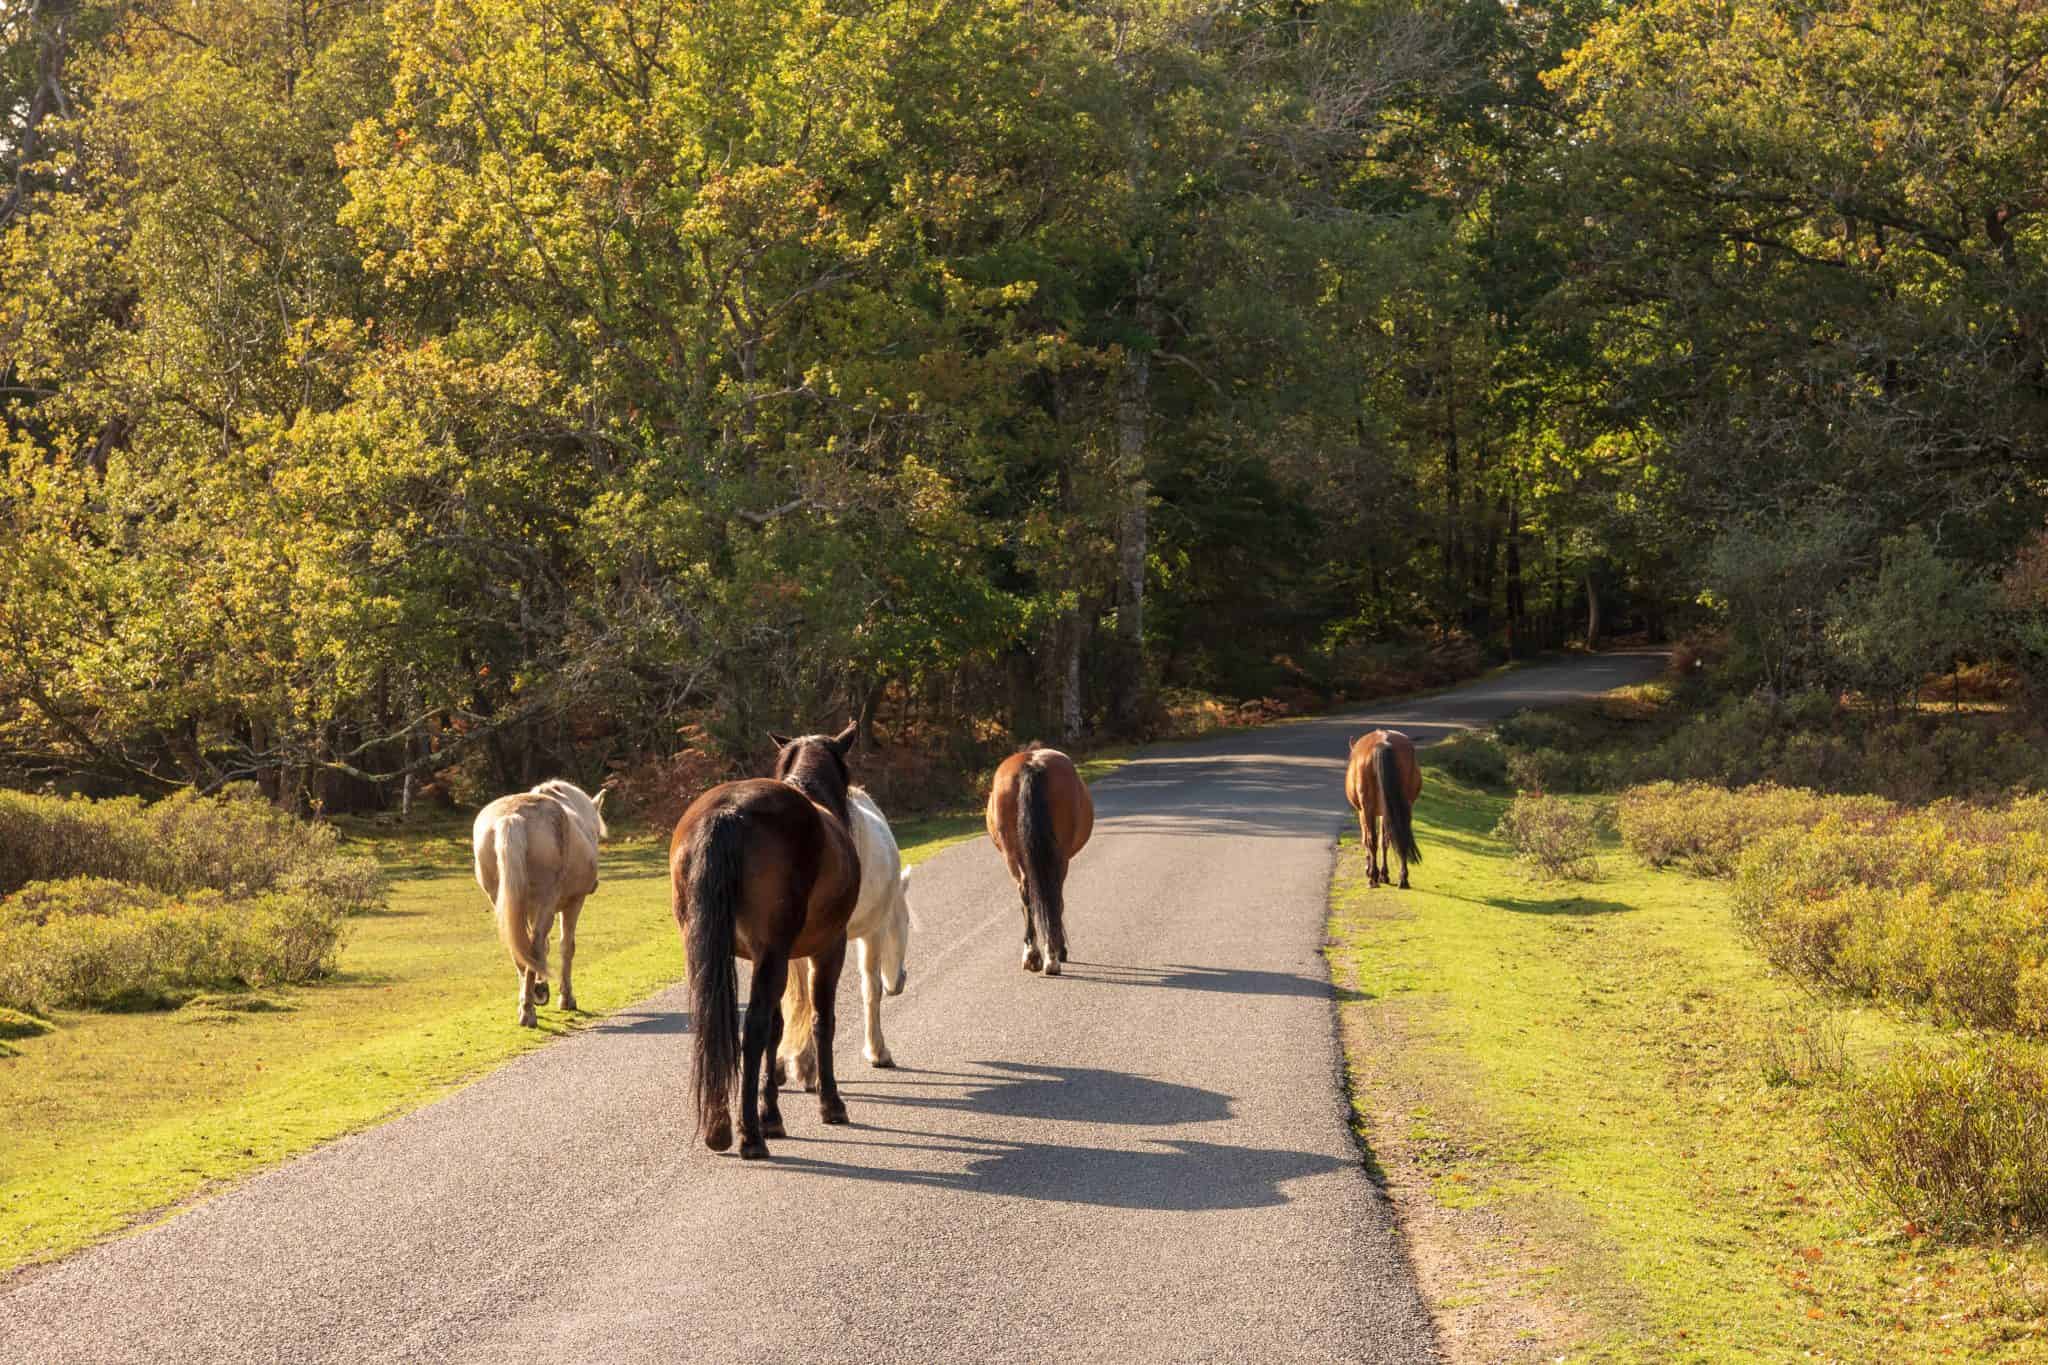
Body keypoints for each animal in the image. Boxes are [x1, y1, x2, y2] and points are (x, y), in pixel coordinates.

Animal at [473, 777, 606, 1023]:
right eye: (595, 832)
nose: (595, 884)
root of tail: (512, 817)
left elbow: (539, 946)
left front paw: (540, 988)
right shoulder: (574, 902)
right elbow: (566, 946)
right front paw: (566, 998)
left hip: (504, 901)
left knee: (521, 947)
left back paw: (528, 1001)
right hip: (548, 902)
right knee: (534, 945)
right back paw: (528, 1011)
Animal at [671, 724, 864, 1162]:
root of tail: (727, 813)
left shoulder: (769, 957)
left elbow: (777, 1028)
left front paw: (771, 1111)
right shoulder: (827, 949)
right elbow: (819, 1022)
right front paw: (830, 1103)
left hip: (712, 953)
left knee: (714, 1026)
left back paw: (721, 1128)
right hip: (780, 954)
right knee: (753, 1030)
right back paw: (749, 1137)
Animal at [987, 749, 1097, 970]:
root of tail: (1032, 763)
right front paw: (1061, 950)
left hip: (1013, 856)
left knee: (1026, 892)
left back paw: (1032, 954)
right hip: (1058, 858)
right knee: (1052, 895)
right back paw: (1053, 956)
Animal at [1343, 732, 1425, 892]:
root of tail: (1382, 742)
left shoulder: (1362, 812)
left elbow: (1367, 839)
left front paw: (1371, 870)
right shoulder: (1385, 812)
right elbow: (1385, 840)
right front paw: (1384, 874)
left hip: (1367, 808)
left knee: (1371, 840)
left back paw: (1373, 878)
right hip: (1404, 806)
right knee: (1401, 837)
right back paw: (1403, 878)